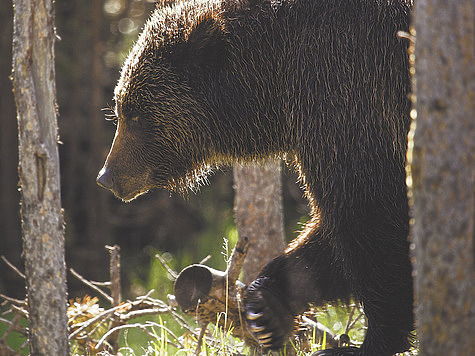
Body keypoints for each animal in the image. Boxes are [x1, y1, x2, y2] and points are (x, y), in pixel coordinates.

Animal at [98, 1, 414, 354]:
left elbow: (369, 215)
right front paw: (267, 308)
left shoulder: (349, 99)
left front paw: (371, 340)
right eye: (120, 107)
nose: (107, 176)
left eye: (135, 114)